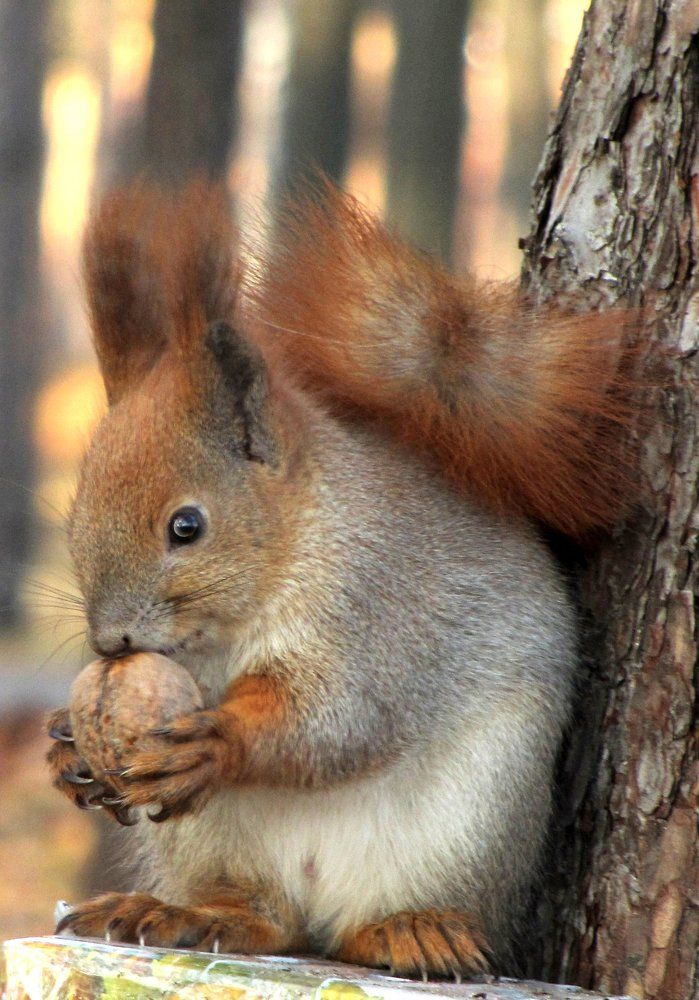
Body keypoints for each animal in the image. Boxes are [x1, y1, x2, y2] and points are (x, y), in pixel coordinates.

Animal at [46, 181, 636, 979]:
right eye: (77, 511)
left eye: (186, 527)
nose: (110, 644)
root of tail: (319, 900)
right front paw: (66, 747)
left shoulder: (374, 608)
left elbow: (339, 718)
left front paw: (217, 741)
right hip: (211, 842)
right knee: (261, 916)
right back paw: (189, 914)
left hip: (472, 819)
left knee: (382, 918)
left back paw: (412, 929)